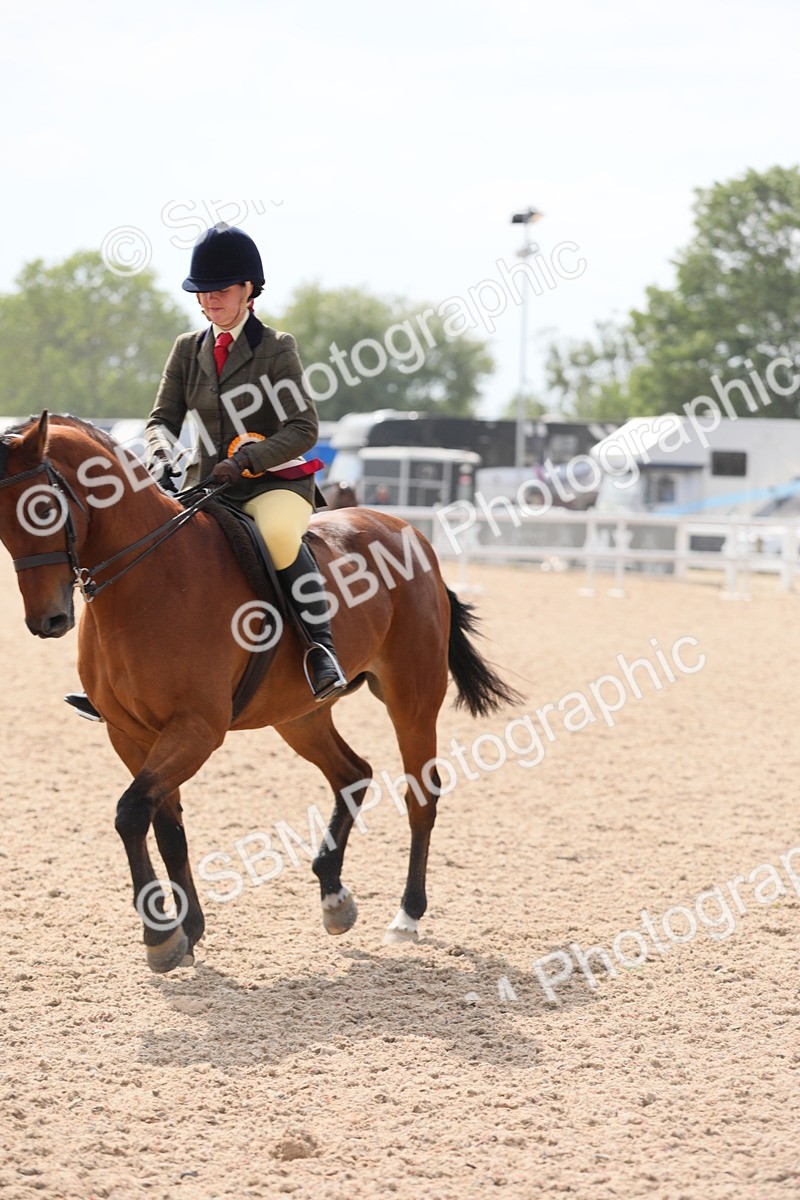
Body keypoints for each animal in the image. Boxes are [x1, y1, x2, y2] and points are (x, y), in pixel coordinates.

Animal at [0, 413, 519, 973]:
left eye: (44, 509)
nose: (48, 621)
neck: (147, 577)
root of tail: (410, 533)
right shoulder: (130, 734)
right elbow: (166, 826)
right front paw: (189, 931)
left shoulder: (196, 729)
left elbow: (132, 813)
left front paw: (159, 938)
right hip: (299, 715)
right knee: (352, 774)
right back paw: (333, 896)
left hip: (412, 698)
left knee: (420, 795)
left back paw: (407, 917)